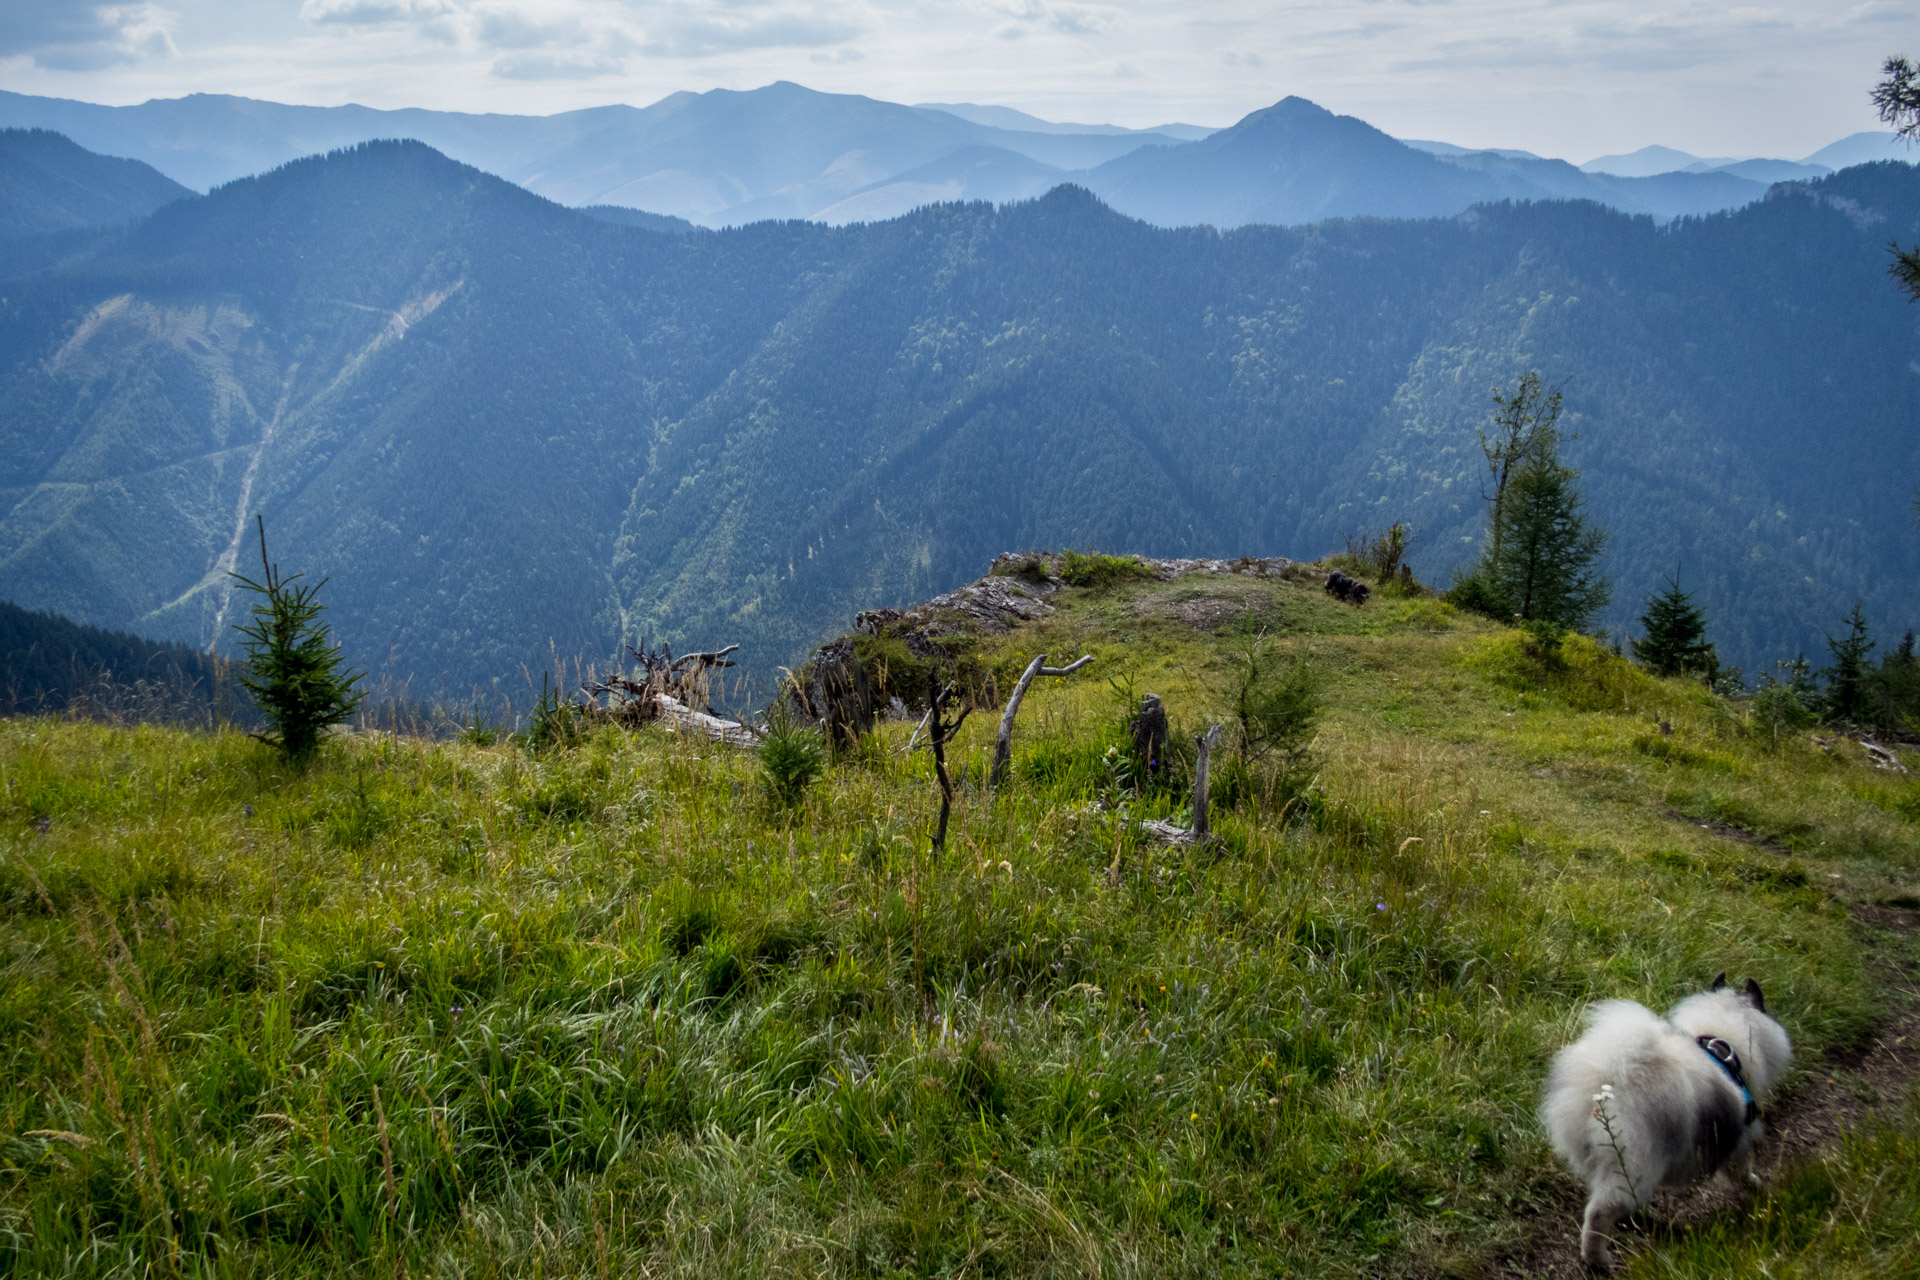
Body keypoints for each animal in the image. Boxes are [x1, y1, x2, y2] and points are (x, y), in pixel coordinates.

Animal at [1536, 974, 1789, 1266]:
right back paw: (1598, 1259)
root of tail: (1606, 1079)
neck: (1722, 1042)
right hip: (1634, 1163)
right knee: (1599, 1213)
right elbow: (1743, 1172)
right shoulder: (1738, 1143)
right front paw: (1758, 1187)